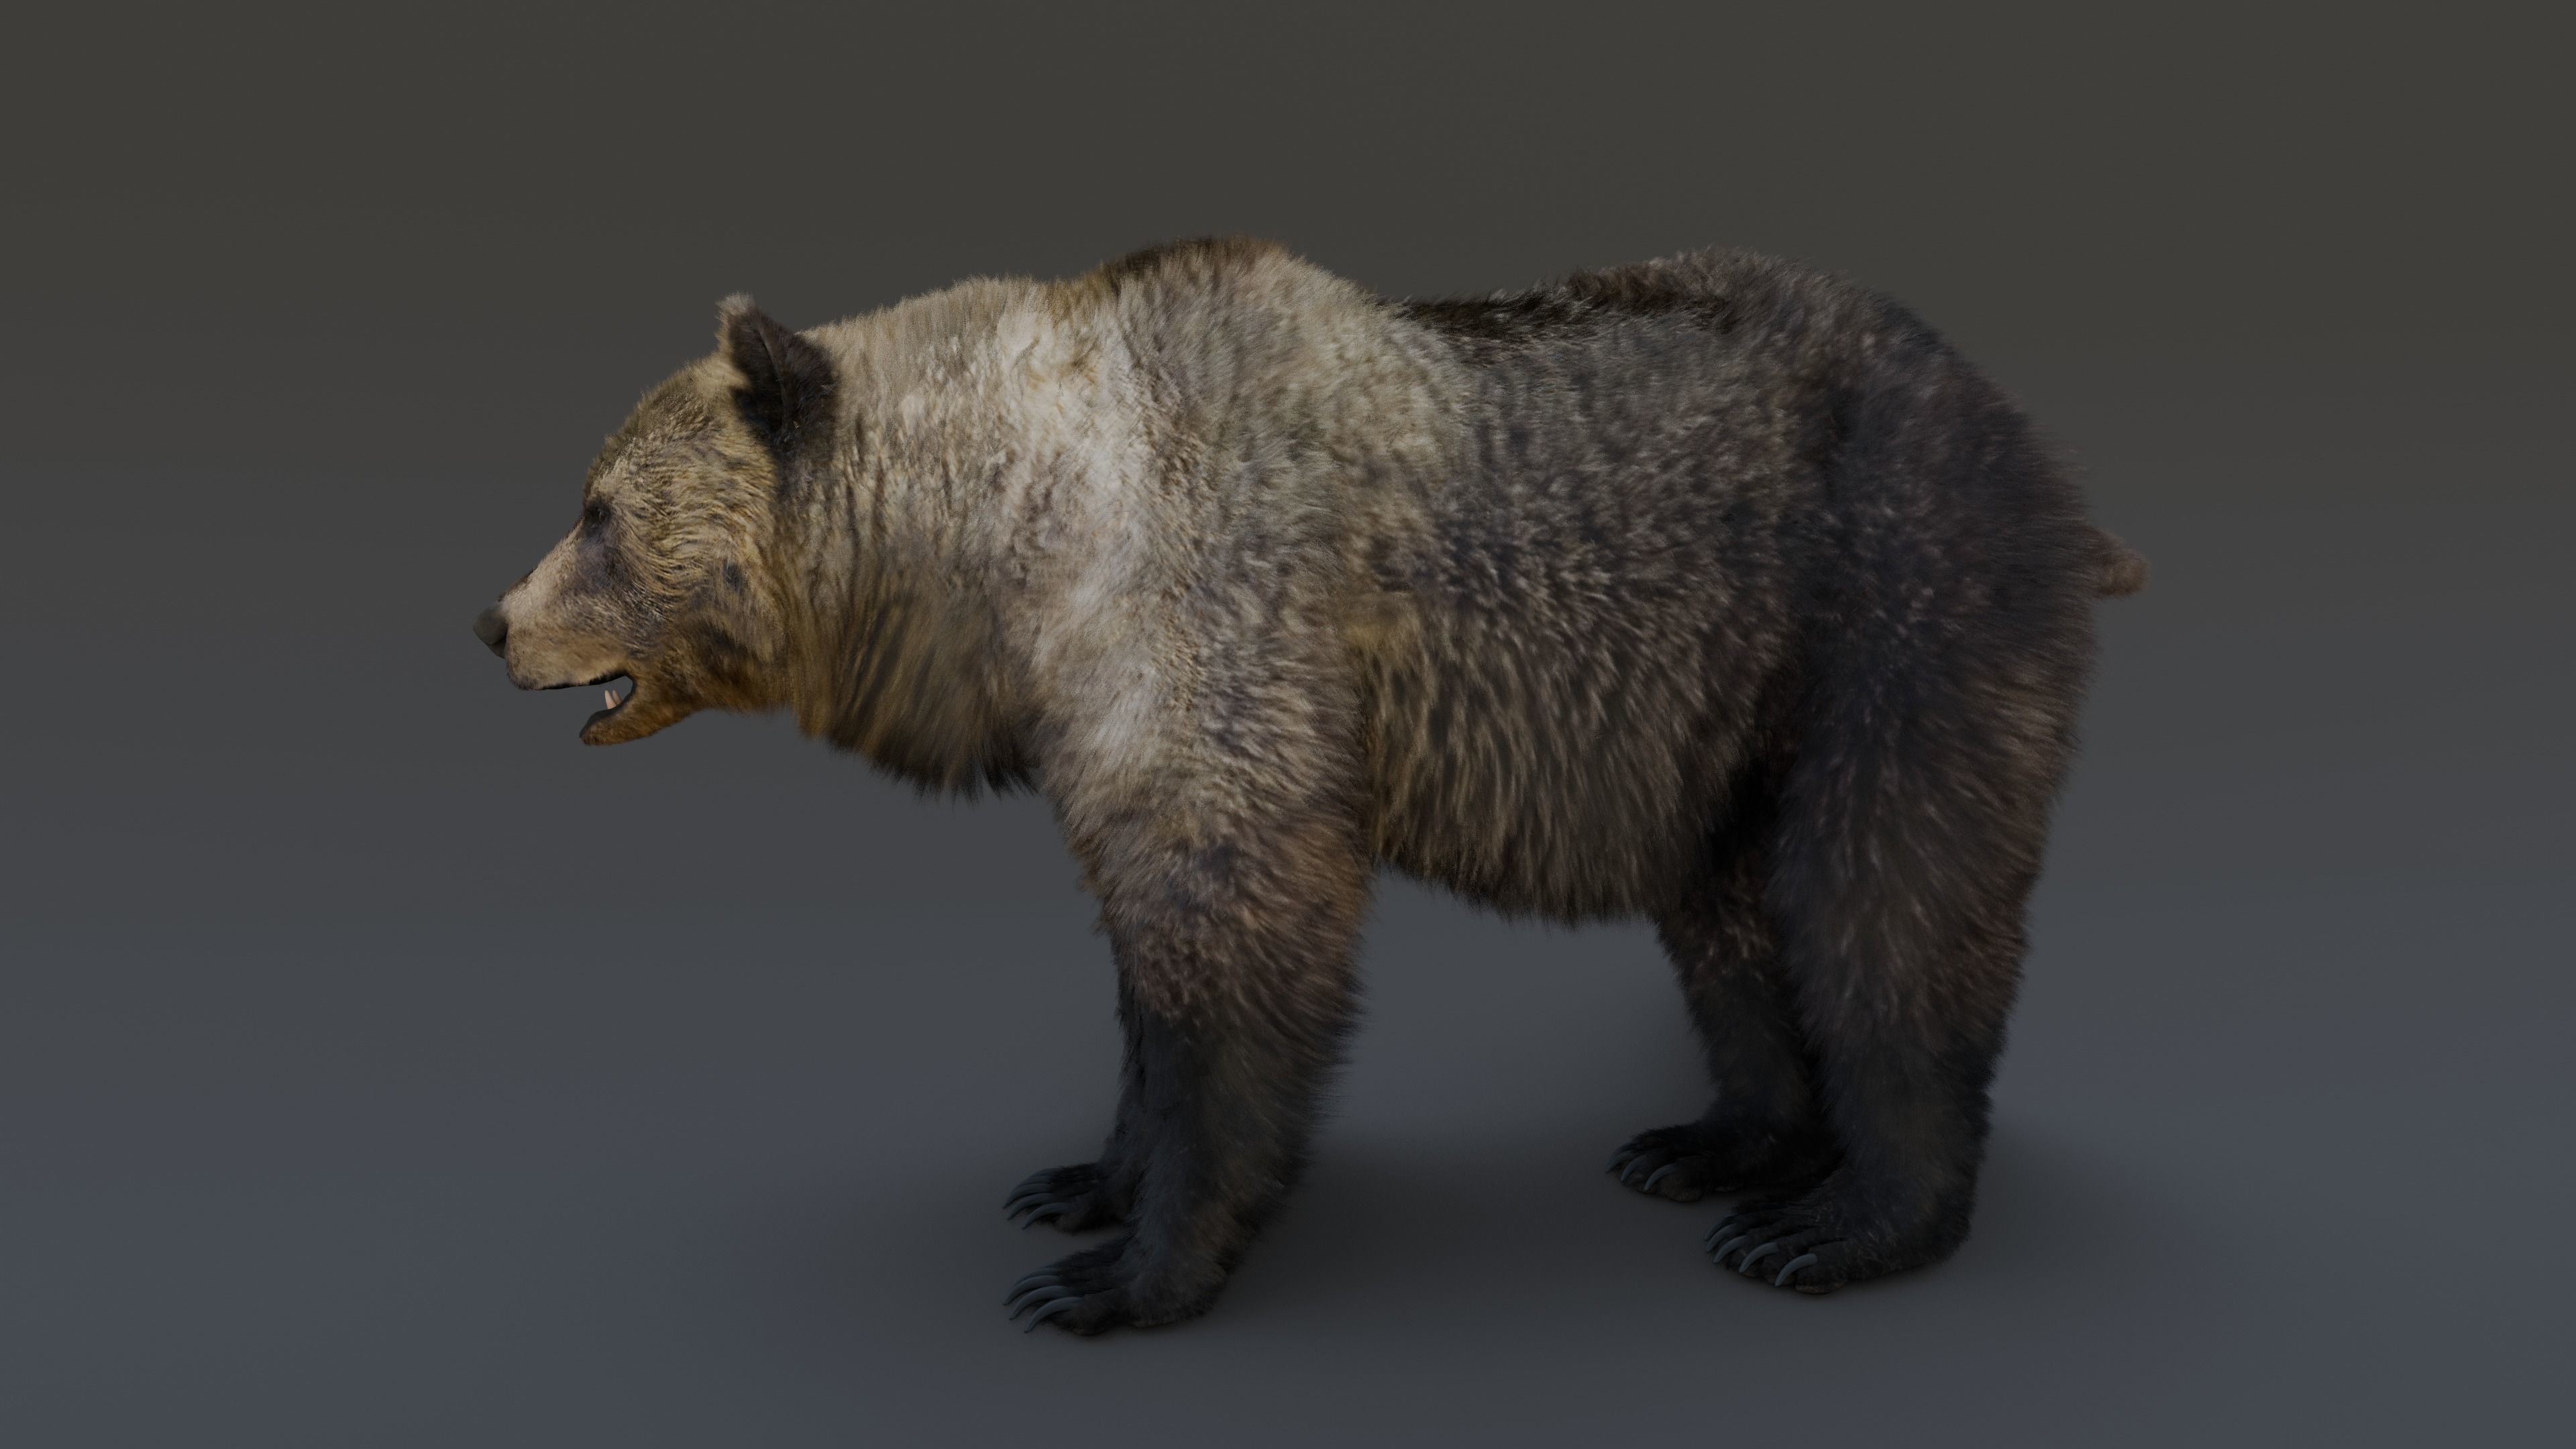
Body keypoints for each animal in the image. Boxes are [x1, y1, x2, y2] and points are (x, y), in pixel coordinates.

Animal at [471, 237, 2145, 1335]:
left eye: (597, 511)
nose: (493, 622)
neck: (1013, 536)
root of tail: (2025, 436)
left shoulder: (1211, 617)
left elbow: (1238, 936)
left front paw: (1113, 1274)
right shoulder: (1094, 705)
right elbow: (1144, 963)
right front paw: (1077, 1181)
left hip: (1889, 606)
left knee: (1885, 896)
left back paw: (1841, 1225)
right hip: (1725, 709)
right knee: (1730, 914)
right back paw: (1712, 1143)